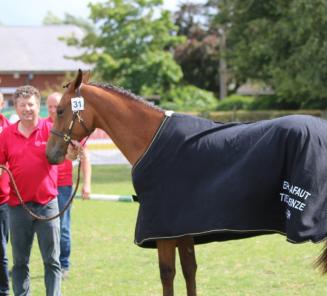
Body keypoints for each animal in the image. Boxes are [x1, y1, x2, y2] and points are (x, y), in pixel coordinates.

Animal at [46, 69, 327, 294]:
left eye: (60, 110)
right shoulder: (183, 229)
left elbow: (167, 274)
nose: (51, 154)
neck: (151, 137)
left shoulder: (163, 231)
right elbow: (189, 270)